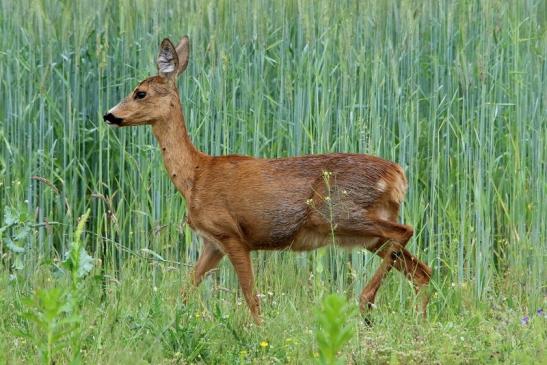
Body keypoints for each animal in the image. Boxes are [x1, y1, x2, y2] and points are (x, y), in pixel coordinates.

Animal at [104, 35, 432, 322]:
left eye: (140, 93)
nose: (109, 115)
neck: (195, 176)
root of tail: (398, 175)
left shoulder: (232, 234)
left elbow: (251, 297)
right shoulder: (212, 243)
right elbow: (186, 290)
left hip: (338, 212)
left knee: (406, 232)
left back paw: (365, 301)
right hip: (365, 234)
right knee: (422, 271)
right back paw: (416, 324)